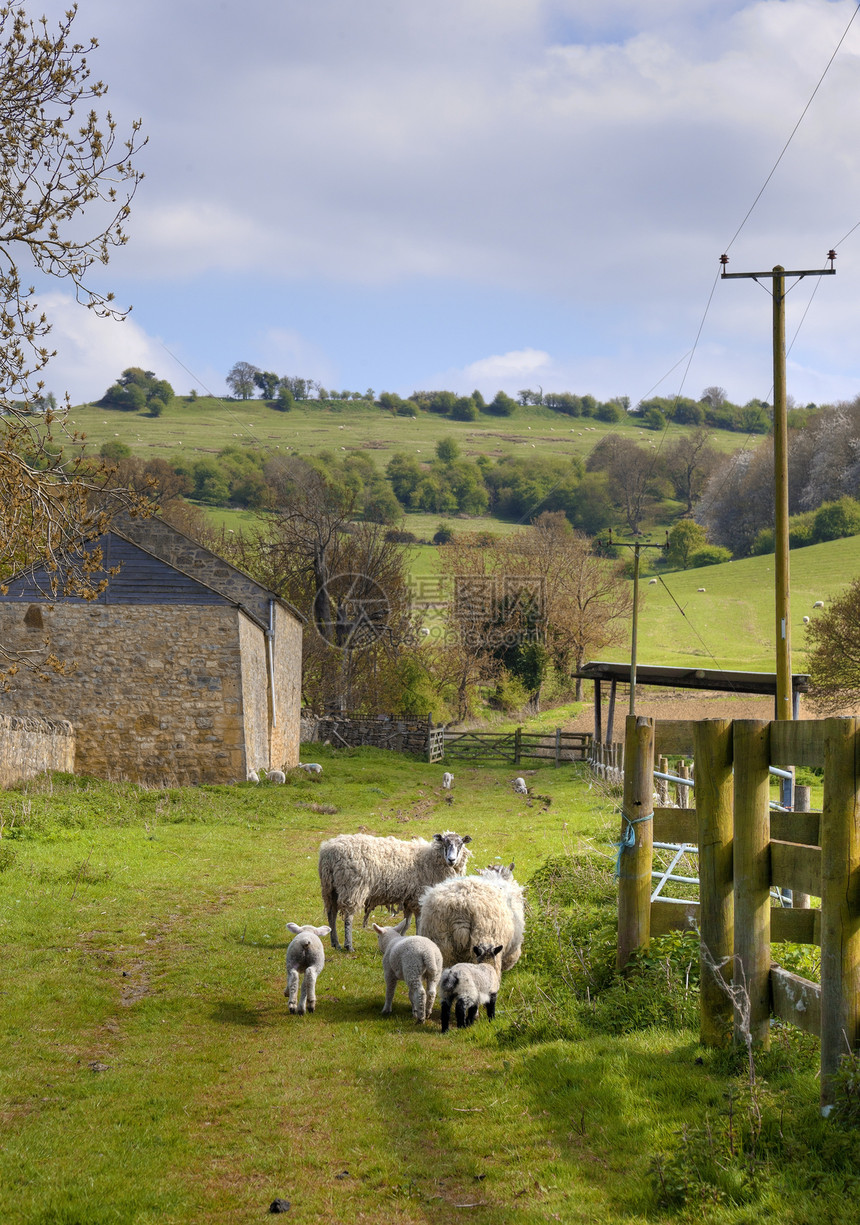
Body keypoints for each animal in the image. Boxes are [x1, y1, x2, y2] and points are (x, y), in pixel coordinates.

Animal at [320, 828, 475, 950]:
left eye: (460, 844)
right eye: (444, 843)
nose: (451, 860)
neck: (431, 859)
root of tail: (329, 851)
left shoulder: (409, 898)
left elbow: (406, 923)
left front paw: (401, 938)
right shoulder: (419, 897)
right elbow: (418, 922)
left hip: (330, 888)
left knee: (331, 914)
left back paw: (335, 943)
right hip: (352, 887)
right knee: (348, 917)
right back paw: (348, 945)